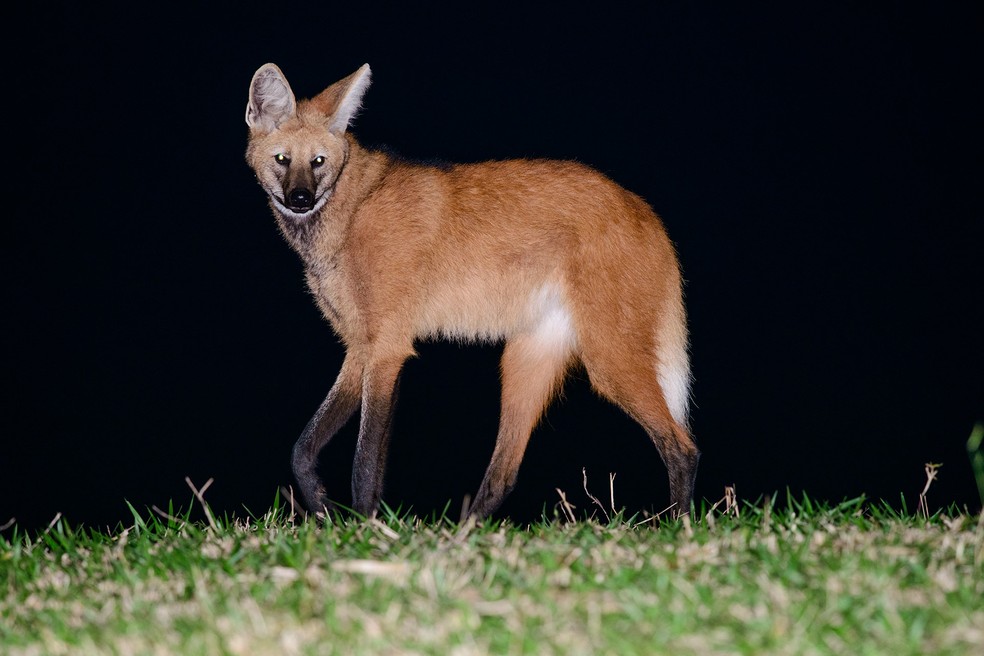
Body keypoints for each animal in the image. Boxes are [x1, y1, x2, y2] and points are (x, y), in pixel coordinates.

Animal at [242, 64, 696, 520]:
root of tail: (644, 210)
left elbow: (364, 461)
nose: (301, 199)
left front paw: (363, 527)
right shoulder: (362, 346)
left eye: (318, 162)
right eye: (282, 159)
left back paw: (678, 526)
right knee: (503, 476)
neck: (350, 211)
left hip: (608, 361)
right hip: (523, 362)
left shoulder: (387, 347)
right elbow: (304, 450)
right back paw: (466, 530)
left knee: (683, 448)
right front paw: (331, 513)